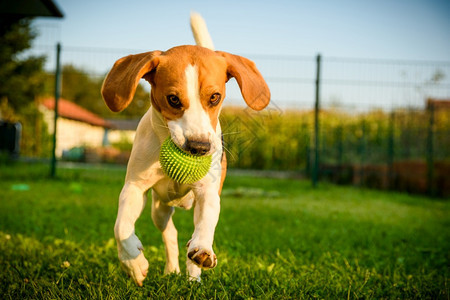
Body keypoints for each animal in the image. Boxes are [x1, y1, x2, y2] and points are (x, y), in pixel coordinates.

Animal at [101, 13, 270, 286]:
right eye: (173, 99)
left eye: (214, 97)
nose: (199, 147)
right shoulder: (135, 187)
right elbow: (121, 226)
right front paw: (133, 263)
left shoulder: (209, 191)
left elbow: (206, 225)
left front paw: (202, 250)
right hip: (159, 209)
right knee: (169, 233)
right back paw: (172, 270)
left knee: (191, 239)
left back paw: (194, 275)